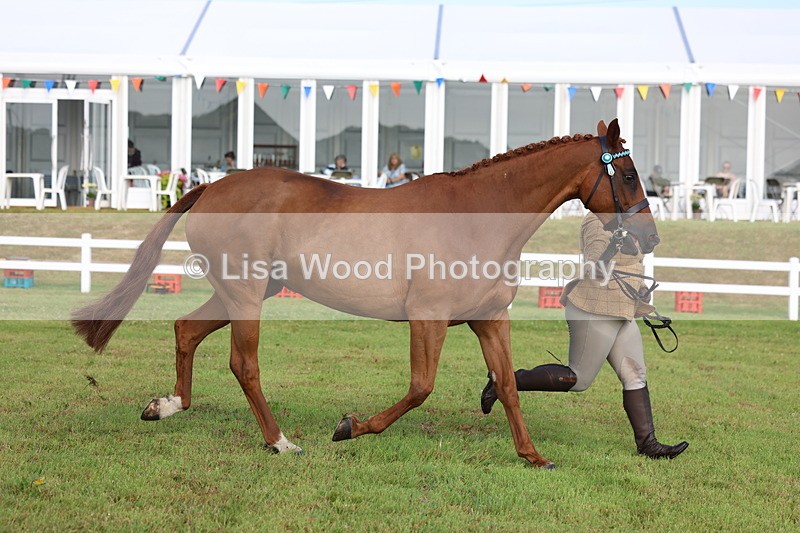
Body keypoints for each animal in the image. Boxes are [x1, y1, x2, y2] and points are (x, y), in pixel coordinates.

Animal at [72, 119, 658, 468]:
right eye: (628, 174)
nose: (649, 237)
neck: (478, 218)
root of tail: (212, 186)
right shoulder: (428, 318)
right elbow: (420, 388)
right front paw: (350, 427)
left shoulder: (490, 319)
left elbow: (510, 386)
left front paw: (533, 456)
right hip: (245, 294)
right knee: (244, 364)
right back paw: (279, 441)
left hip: (244, 291)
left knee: (187, 329)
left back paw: (167, 406)